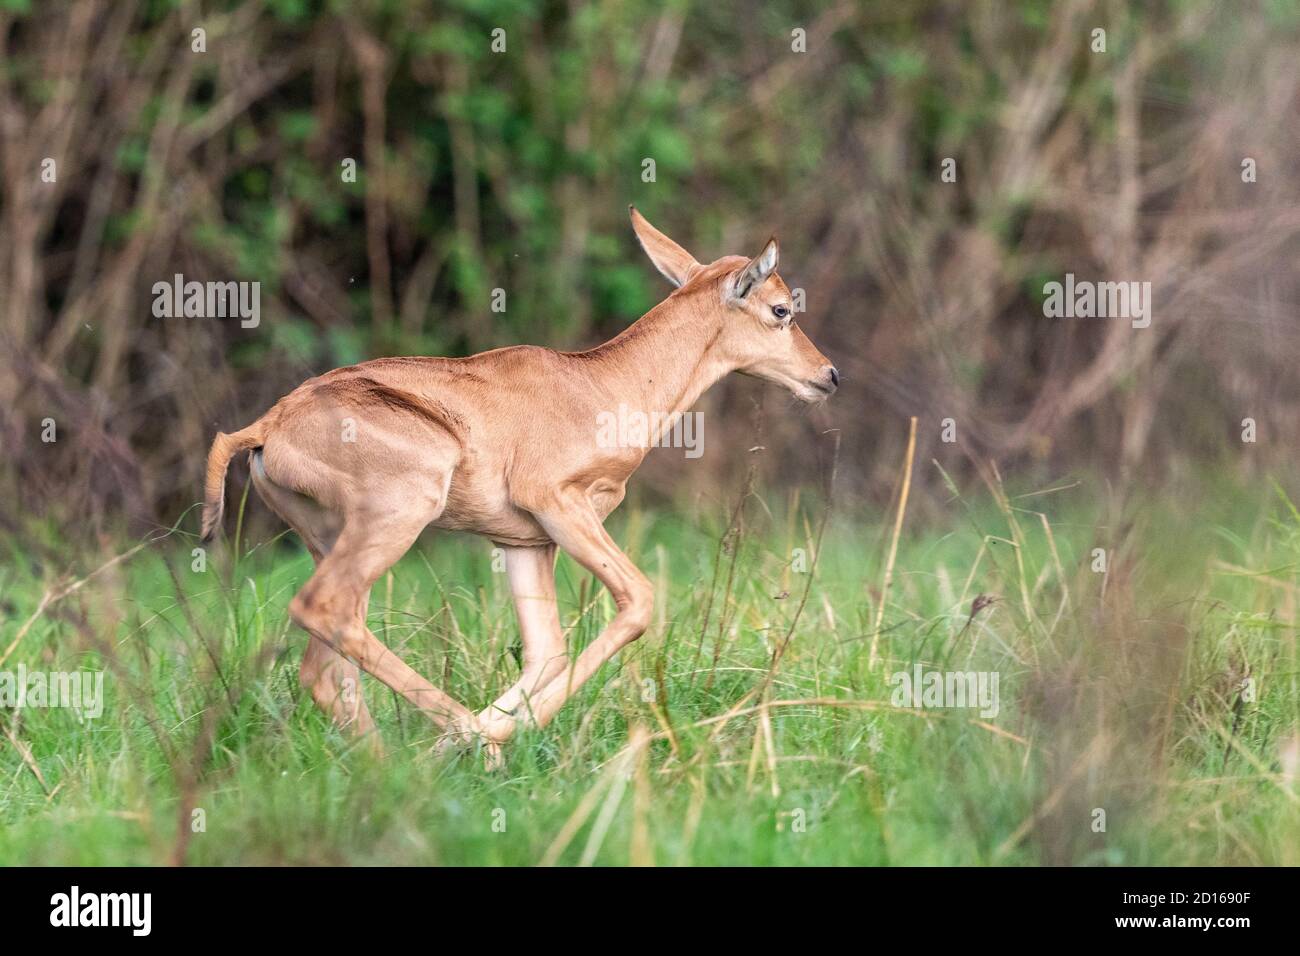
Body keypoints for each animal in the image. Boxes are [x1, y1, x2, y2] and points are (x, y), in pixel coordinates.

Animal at [198, 208, 837, 764]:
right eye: (781, 308)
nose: (828, 375)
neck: (596, 383)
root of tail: (267, 426)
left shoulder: (525, 543)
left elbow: (546, 651)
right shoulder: (559, 506)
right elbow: (637, 601)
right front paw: (488, 740)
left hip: (332, 541)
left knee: (325, 667)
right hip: (396, 518)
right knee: (323, 611)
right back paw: (463, 741)